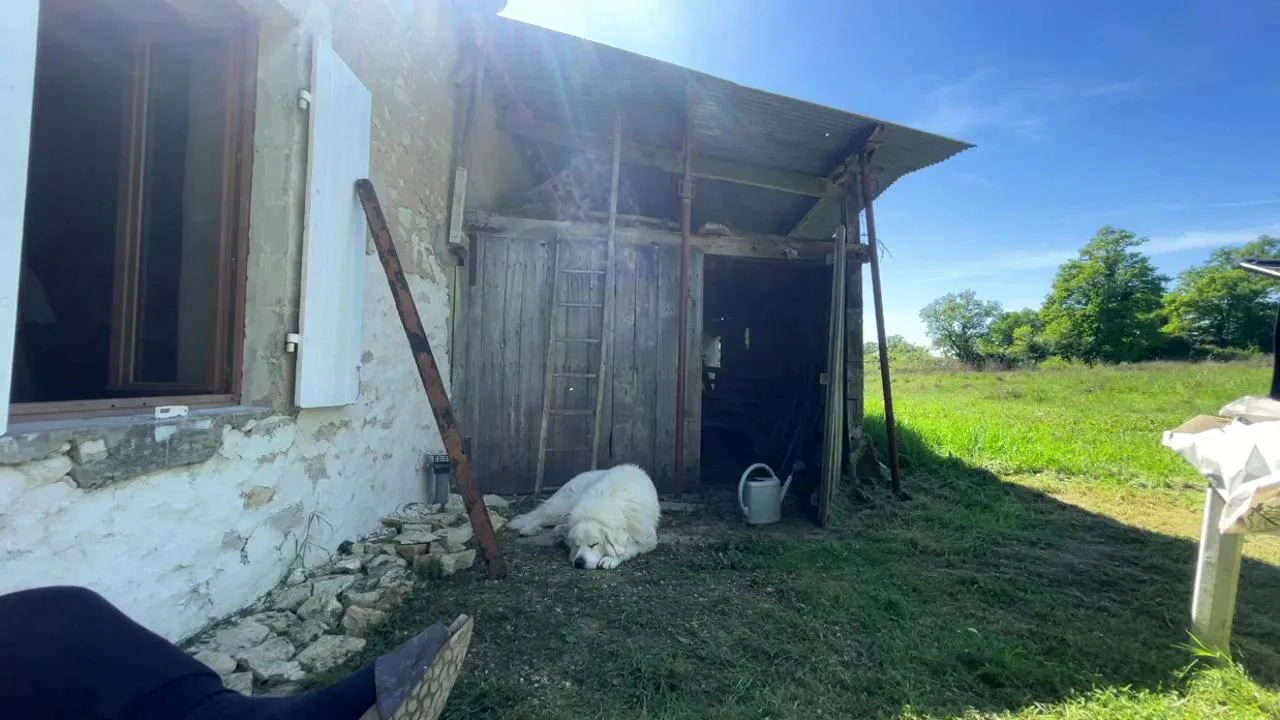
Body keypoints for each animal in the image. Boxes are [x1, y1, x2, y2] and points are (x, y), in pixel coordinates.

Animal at [506, 464, 660, 570]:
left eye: (594, 544)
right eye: (578, 544)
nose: (579, 563)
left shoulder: (648, 541)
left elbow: (628, 548)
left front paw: (610, 559)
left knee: (555, 526)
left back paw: (561, 536)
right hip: (561, 510)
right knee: (537, 517)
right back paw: (529, 529)